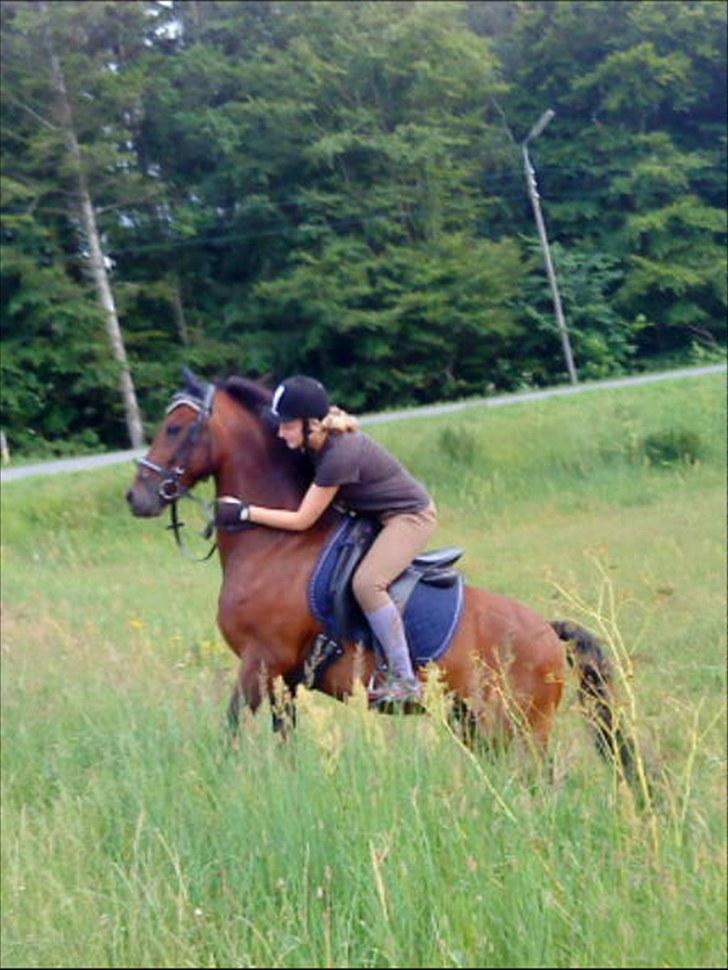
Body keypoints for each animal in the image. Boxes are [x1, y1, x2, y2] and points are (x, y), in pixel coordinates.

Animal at [126, 370, 635, 779]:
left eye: (174, 428)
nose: (137, 497)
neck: (275, 542)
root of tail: (547, 631)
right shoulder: (283, 678)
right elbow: (282, 738)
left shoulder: (261, 661)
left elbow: (229, 729)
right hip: (474, 721)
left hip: (519, 725)